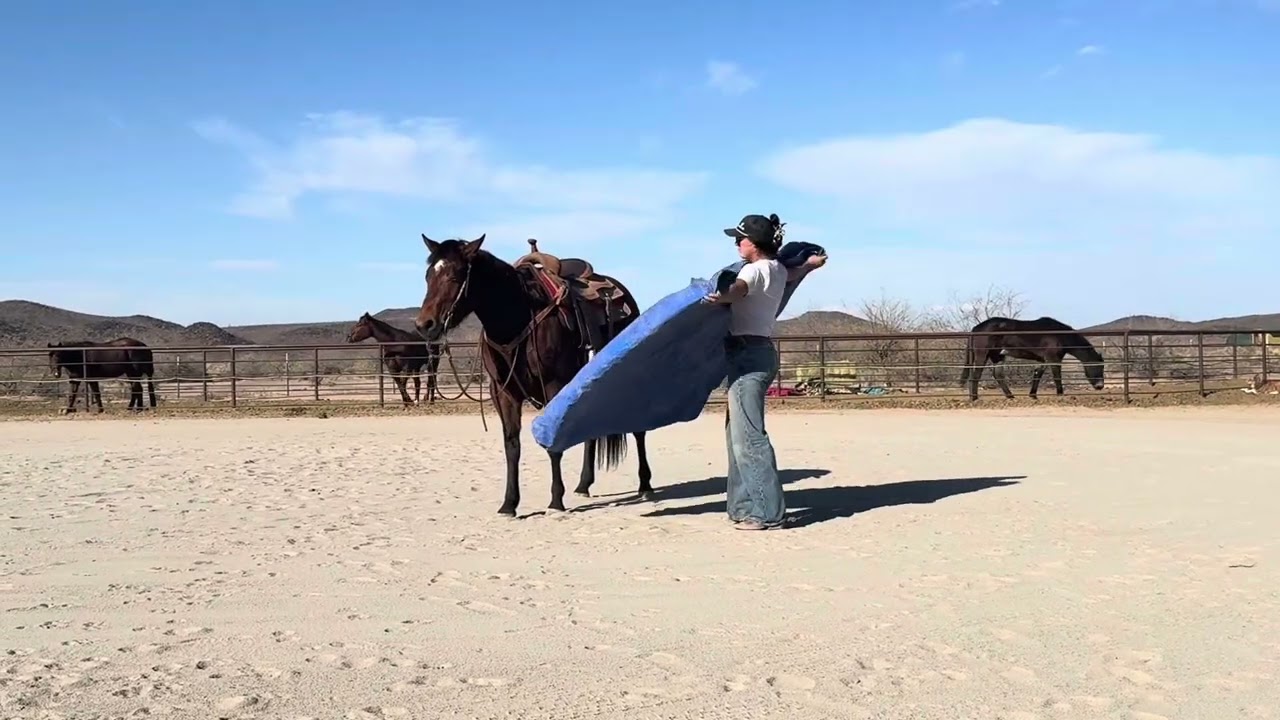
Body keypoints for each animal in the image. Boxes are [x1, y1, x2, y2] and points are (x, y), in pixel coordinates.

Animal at [413, 233, 653, 517]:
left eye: (454, 275)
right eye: (428, 275)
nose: (424, 325)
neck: (517, 318)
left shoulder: (553, 386)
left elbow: (552, 444)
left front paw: (556, 501)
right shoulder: (503, 393)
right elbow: (511, 446)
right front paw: (509, 504)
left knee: (639, 430)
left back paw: (645, 485)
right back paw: (583, 485)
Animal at [959, 316, 1106, 401]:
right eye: (1097, 366)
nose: (1100, 386)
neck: (1059, 335)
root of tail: (975, 328)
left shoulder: (1042, 360)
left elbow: (1037, 375)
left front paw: (1033, 395)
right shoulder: (1053, 358)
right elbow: (1057, 376)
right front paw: (1060, 394)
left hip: (998, 356)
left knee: (998, 375)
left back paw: (1010, 396)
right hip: (982, 354)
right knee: (976, 375)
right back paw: (975, 398)